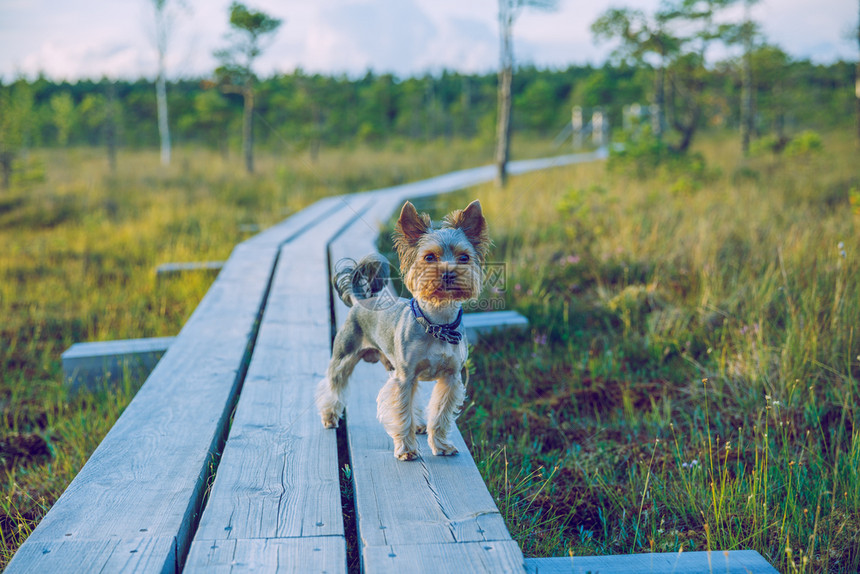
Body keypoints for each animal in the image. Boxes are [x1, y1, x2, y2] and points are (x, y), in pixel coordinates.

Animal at [316, 200, 490, 462]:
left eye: (464, 257)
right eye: (429, 257)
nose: (448, 272)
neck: (437, 323)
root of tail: (360, 300)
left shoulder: (450, 378)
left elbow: (440, 414)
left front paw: (441, 446)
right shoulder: (404, 378)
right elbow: (401, 412)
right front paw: (406, 450)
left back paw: (419, 425)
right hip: (344, 355)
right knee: (333, 384)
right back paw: (329, 416)